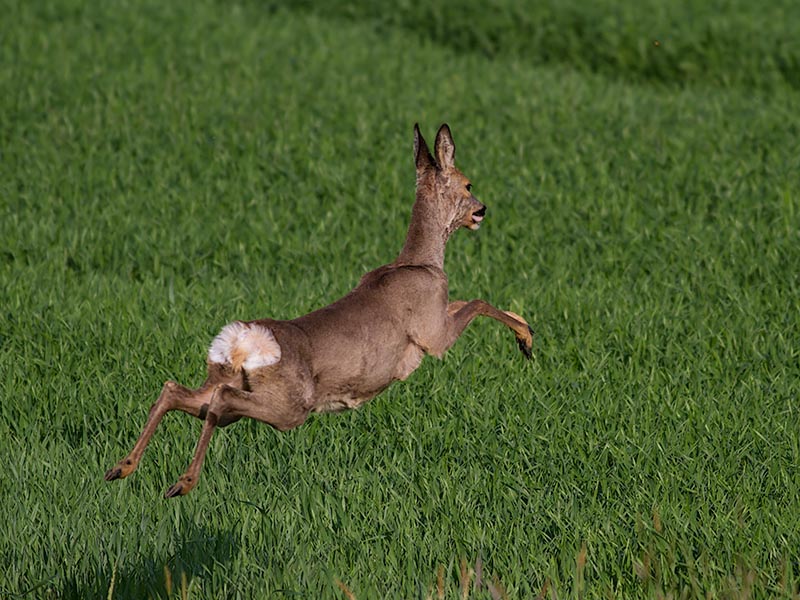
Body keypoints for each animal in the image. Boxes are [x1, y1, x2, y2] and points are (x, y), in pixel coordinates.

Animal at [104, 123, 532, 496]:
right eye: (468, 183)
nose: (482, 209)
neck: (422, 262)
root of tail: (243, 342)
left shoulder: (438, 317)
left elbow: (471, 301)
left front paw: (525, 333)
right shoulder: (433, 334)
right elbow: (478, 301)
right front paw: (526, 339)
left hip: (223, 386)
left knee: (175, 390)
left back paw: (122, 468)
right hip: (290, 405)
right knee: (220, 398)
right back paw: (182, 483)